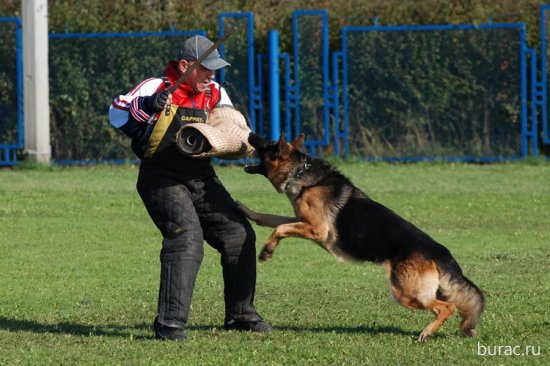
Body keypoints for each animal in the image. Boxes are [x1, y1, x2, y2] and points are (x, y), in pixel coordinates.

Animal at [237, 133, 488, 342]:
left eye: (267, 144)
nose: (250, 134)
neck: (300, 173)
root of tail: (441, 253)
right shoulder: (301, 221)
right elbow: (271, 219)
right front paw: (245, 210)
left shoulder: (317, 229)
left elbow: (280, 228)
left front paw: (267, 251)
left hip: (405, 293)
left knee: (447, 307)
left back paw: (427, 332)